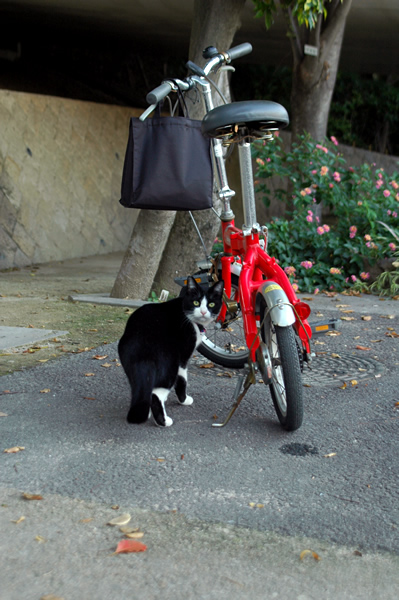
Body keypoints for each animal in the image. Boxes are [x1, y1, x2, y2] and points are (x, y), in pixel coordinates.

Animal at [119, 276, 225, 426]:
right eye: (196, 302)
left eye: (211, 304)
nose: (204, 312)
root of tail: (142, 337)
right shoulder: (183, 358)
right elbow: (182, 381)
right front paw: (184, 400)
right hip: (169, 365)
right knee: (156, 394)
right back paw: (164, 421)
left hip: (131, 366)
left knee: (142, 389)